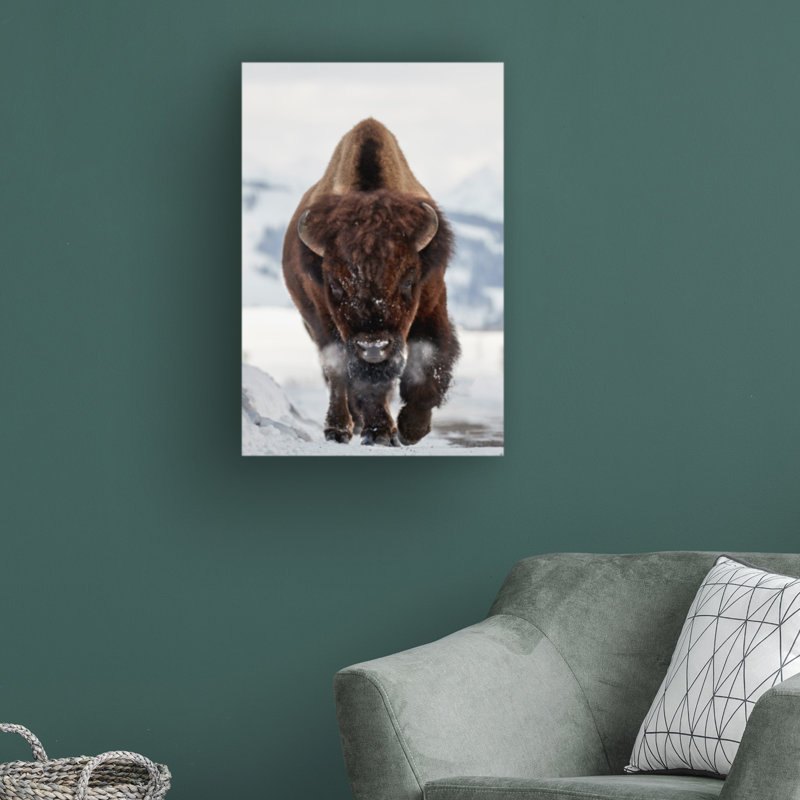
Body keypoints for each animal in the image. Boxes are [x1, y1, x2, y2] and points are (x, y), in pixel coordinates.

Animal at [282, 118, 459, 447]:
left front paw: (411, 429)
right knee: (337, 375)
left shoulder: (431, 303)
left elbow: (429, 359)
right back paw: (340, 429)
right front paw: (379, 432)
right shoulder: (327, 321)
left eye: (409, 280)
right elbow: (354, 376)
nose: (373, 347)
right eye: (334, 285)